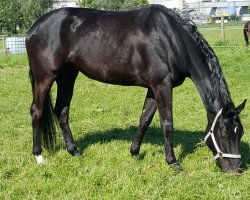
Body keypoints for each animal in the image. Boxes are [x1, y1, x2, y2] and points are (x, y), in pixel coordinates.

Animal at [25, 5, 246, 173]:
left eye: (240, 133)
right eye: (224, 134)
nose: (236, 170)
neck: (172, 39)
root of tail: (33, 28)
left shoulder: (153, 88)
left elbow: (144, 119)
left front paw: (134, 152)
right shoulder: (162, 85)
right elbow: (167, 123)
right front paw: (173, 162)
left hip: (67, 76)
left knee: (61, 111)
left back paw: (74, 151)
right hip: (45, 76)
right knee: (37, 111)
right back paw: (39, 156)